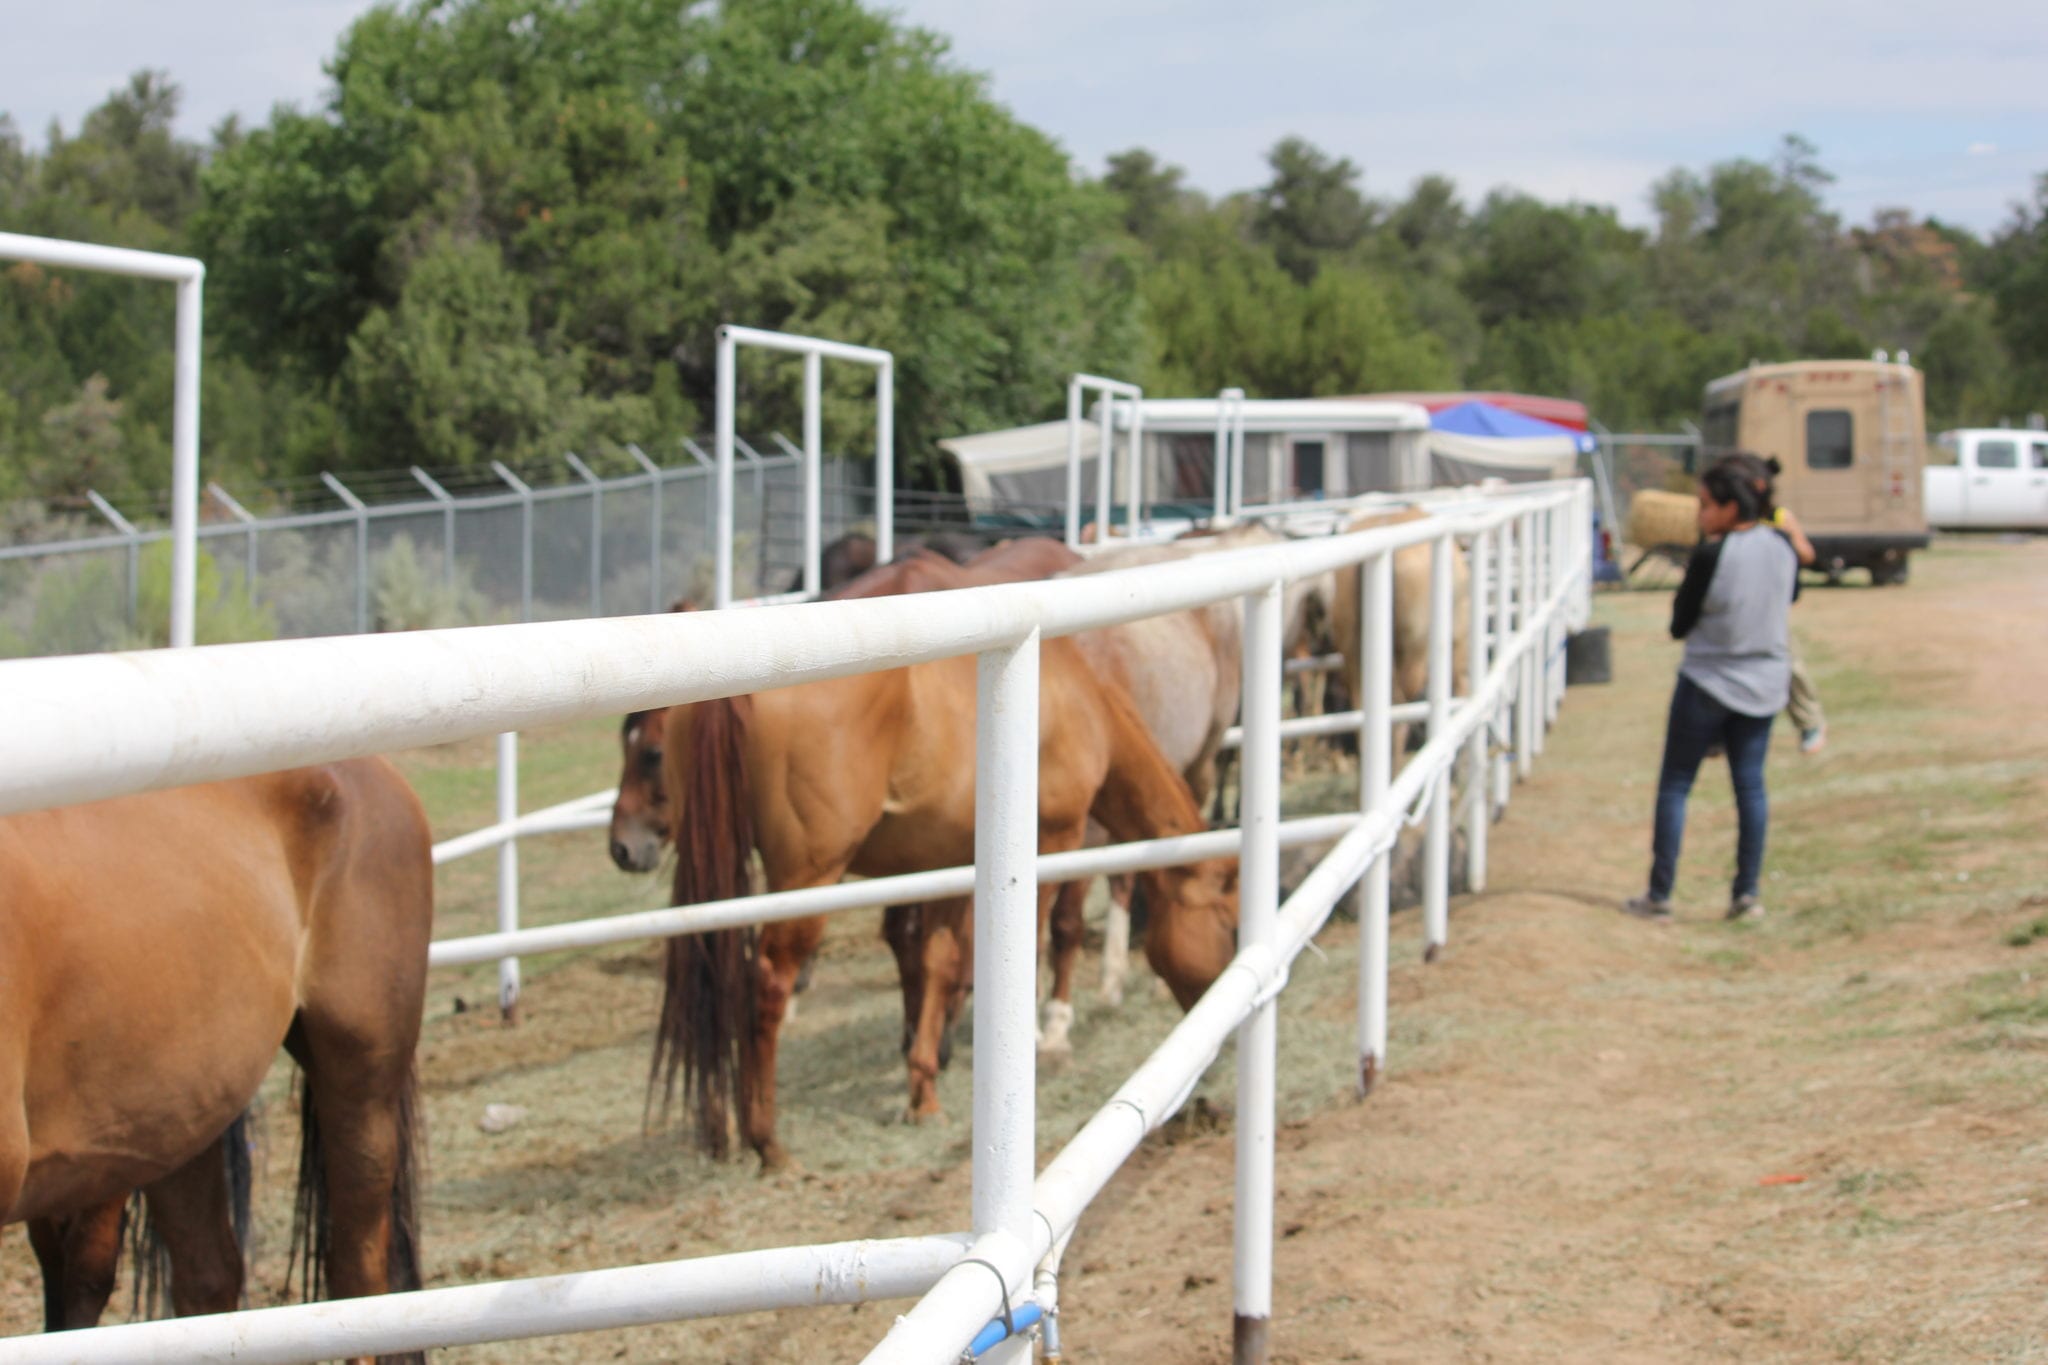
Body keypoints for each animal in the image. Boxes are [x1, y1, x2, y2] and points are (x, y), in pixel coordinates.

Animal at [655, 638, 1238, 1170]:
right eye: (1230, 925)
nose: (1219, 1024)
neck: (1079, 701)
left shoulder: (948, 863)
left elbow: (938, 961)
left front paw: (924, 1086)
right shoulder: (1054, 842)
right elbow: (1025, 945)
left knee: (708, 980)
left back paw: (719, 1130)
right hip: (808, 877)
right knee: (768, 983)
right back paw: (767, 1142)